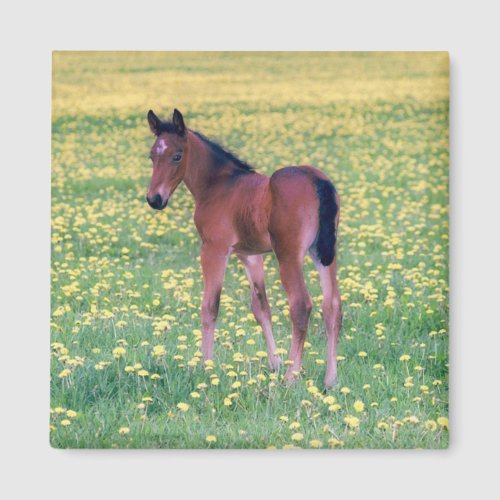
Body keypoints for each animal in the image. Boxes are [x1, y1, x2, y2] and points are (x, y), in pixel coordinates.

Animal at [144, 108, 340, 386]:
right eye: (152, 156)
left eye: (177, 156)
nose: (154, 199)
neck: (219, 185)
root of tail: (316, 180)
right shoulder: (250, 256)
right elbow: (261, 308)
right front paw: (274, 363)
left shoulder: (214, 249)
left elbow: (210, 306)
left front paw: (205, 365)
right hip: (323, 254)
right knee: (332, 306)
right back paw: (330, 379)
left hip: (288, 256)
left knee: (301, 305)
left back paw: (291, 378)